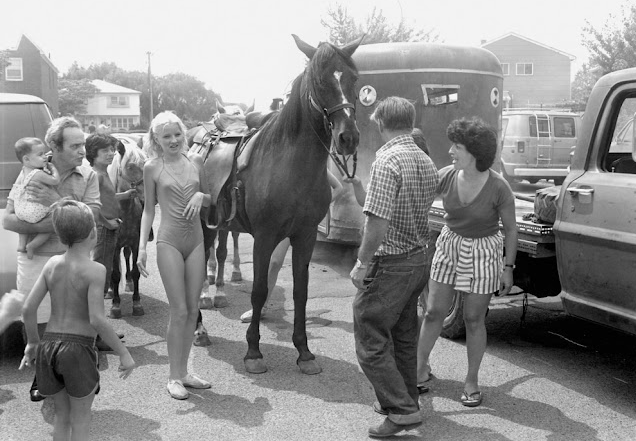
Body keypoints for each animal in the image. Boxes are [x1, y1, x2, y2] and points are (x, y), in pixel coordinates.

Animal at [204, 34, 362, 372]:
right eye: (319, 81)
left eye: (353, 79)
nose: (348, 138)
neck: (290, 167)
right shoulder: (265, 237)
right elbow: (259, 290)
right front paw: (253, 351)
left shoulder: (305, 236)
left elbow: (301, 291)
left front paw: (304, 351)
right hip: (204, 226)